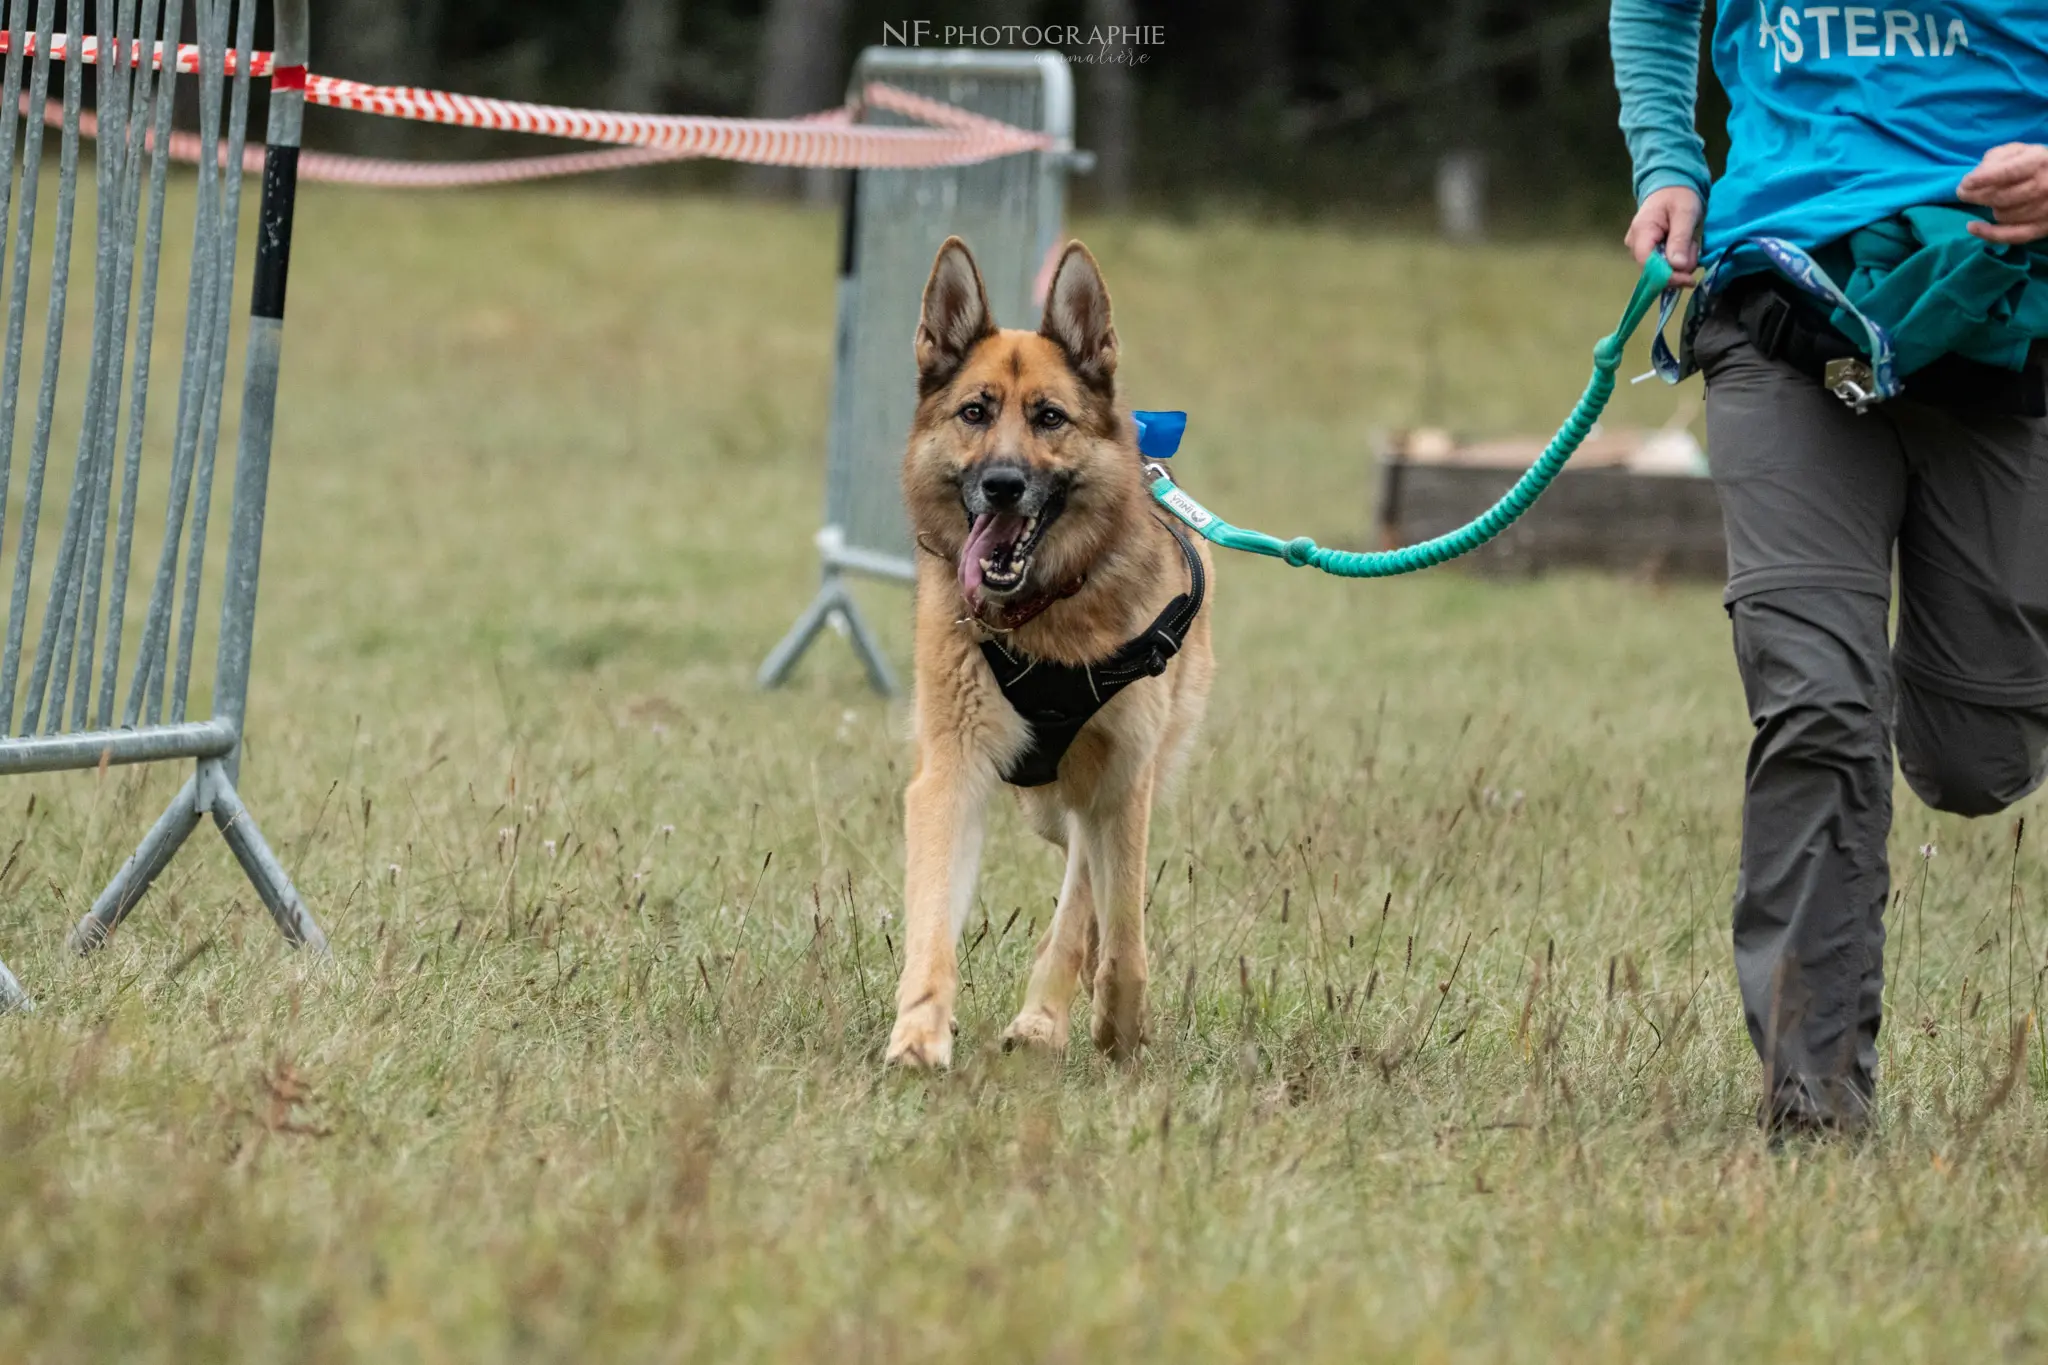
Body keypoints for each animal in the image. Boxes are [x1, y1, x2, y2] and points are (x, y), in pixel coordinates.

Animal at [884, 240, 1204, 1072]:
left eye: (1048, 417)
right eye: (975, 412)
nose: (1002, 485)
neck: (1045, 618)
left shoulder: (1122, 781)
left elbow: (1122, 932)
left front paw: (1117, 1025)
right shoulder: (952, 773)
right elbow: (934, 921)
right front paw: (920, 1033)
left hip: (1096, 792)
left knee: (1087, 894)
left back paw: (1047, 1016)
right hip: (1044, 804)